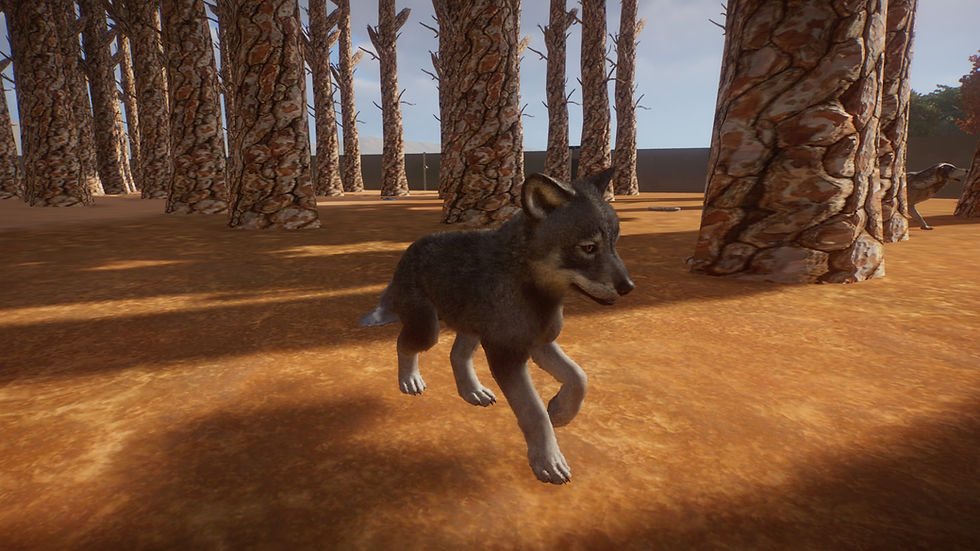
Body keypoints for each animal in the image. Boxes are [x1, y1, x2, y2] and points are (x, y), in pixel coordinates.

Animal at [359, 169, 634, 484]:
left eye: (615, 243)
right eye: (588, 248)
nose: (629, 287)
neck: (536, 292)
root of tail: (409, 250)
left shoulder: (540, 344)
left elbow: (579, 378)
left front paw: (561, 412)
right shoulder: (508, 357)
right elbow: (534, 413)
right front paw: (548, 461)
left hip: (472, 330)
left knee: (456, 356)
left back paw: (472, 392)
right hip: (429, 332)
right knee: (403, 345)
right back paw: (409, 381)